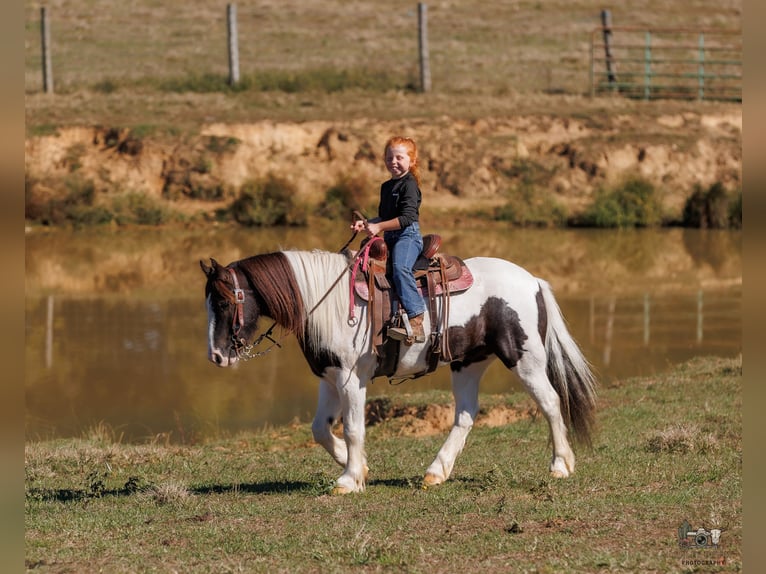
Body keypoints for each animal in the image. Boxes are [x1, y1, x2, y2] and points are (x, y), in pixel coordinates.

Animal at [200, 247, 597, 494]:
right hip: (468, 363)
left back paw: (561, 465)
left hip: (524, 359)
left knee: (550, 402)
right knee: (466, 414)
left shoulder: (351, 379)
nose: (216, 356)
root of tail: (533, 281)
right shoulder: (329, 379)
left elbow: (354, 428)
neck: (328, 303)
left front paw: (349, 480)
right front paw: (357, 468)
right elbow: (320, 430)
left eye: (224, 301)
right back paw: (436, 472)